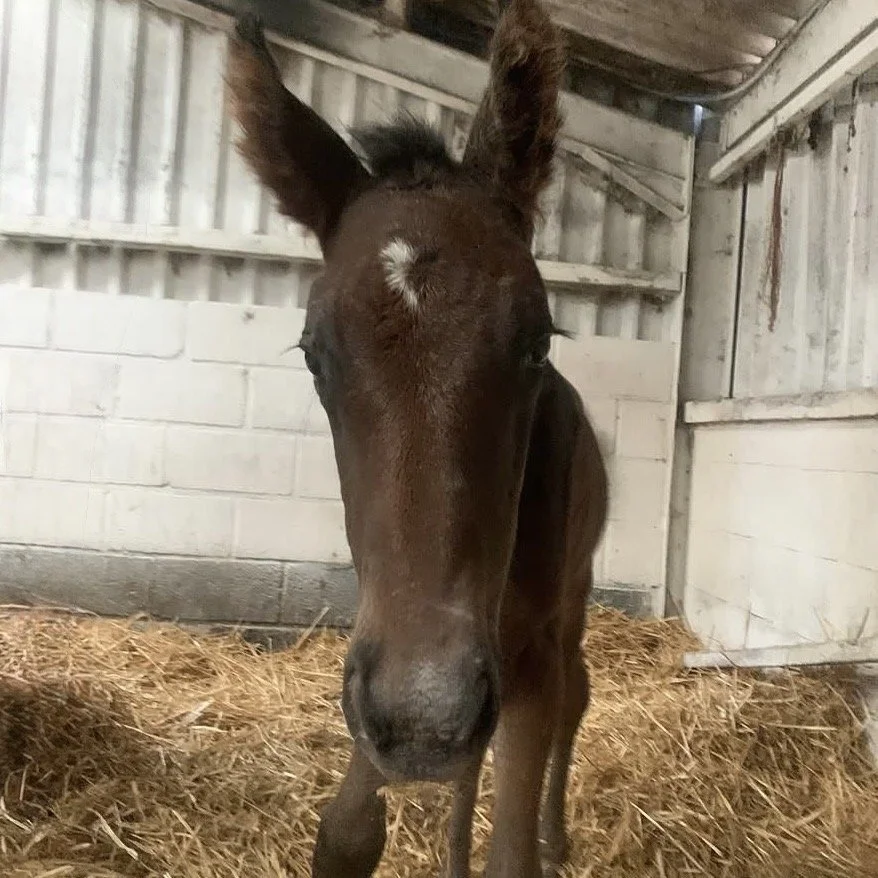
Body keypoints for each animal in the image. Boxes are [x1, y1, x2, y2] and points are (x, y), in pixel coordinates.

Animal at [226, 1, 608, 874]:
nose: (427, 718)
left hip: (569, 602)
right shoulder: (387, 666)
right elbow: (346, 835)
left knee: (576, 692)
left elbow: (513, 845)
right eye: (315, 354)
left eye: (538, 343)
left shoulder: (519, 655)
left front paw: (529, 840)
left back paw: (558, 832)